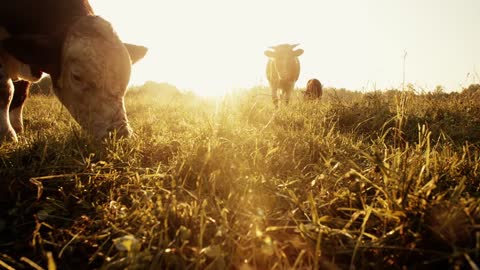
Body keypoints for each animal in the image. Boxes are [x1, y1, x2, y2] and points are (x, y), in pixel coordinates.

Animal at [0, 0, 148, 142]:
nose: (121, 134)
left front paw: (17, 128)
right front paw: (7, 133)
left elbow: (21, 94)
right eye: (76, 76)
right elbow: (7, 90)